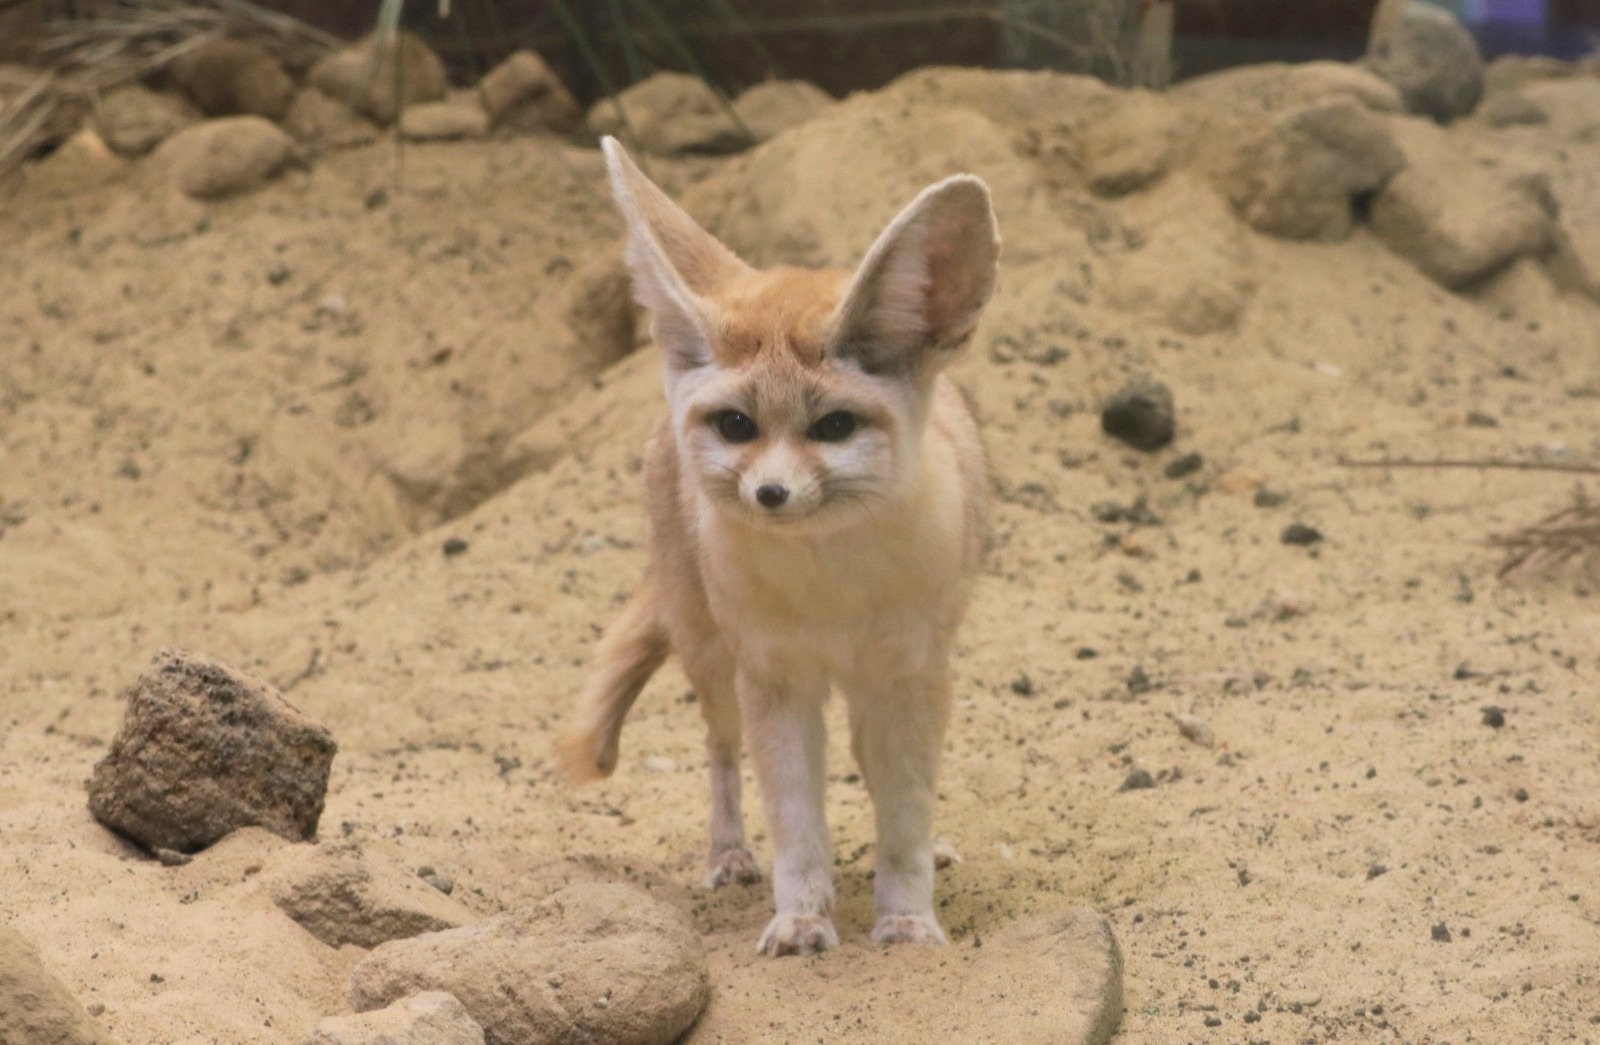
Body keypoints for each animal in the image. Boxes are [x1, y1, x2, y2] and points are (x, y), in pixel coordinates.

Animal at [556, 138, 992, 953]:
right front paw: (801, 918)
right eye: (737, 426)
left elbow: (904, 810)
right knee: (720, 751)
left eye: (833, 428)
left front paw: (906, 913)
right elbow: (794, 819)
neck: (832, 589)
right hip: (713, 661)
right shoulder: (776, 679)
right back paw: (728, 854)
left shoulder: (910, 675)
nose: (770, 495)